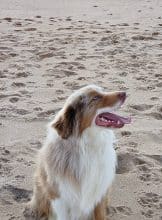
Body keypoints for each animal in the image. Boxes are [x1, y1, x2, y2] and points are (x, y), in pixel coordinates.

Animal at [26, 84, 130, 220]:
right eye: (95, 98)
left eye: (102, 91)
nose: (124, 93)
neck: (87, 147)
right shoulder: (59, 197)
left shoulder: (99, 194)